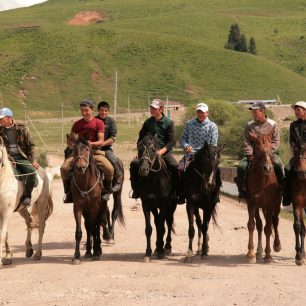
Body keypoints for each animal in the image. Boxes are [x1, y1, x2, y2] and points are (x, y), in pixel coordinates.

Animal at [0, 136, 53, 268]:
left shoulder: (7, 212)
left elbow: (2, 234)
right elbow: (6, 234)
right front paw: (8, 256)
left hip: (41, 205)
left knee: (41, 227)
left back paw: (38, 254)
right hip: (22, 209)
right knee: (29, 221)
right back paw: (29, 249)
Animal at [246, 131, 282, 262]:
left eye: (271, 147)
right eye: (256, 148)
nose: (267, 168)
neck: (263, 180)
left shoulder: (270, 204)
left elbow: (268, 229)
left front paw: (268, 255)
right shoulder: (252, 203)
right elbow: (252, 225)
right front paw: (251, 253)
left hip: (276, 205)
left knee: (275, 221)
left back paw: (277, 245)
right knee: (260, 224)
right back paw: (259, 251)